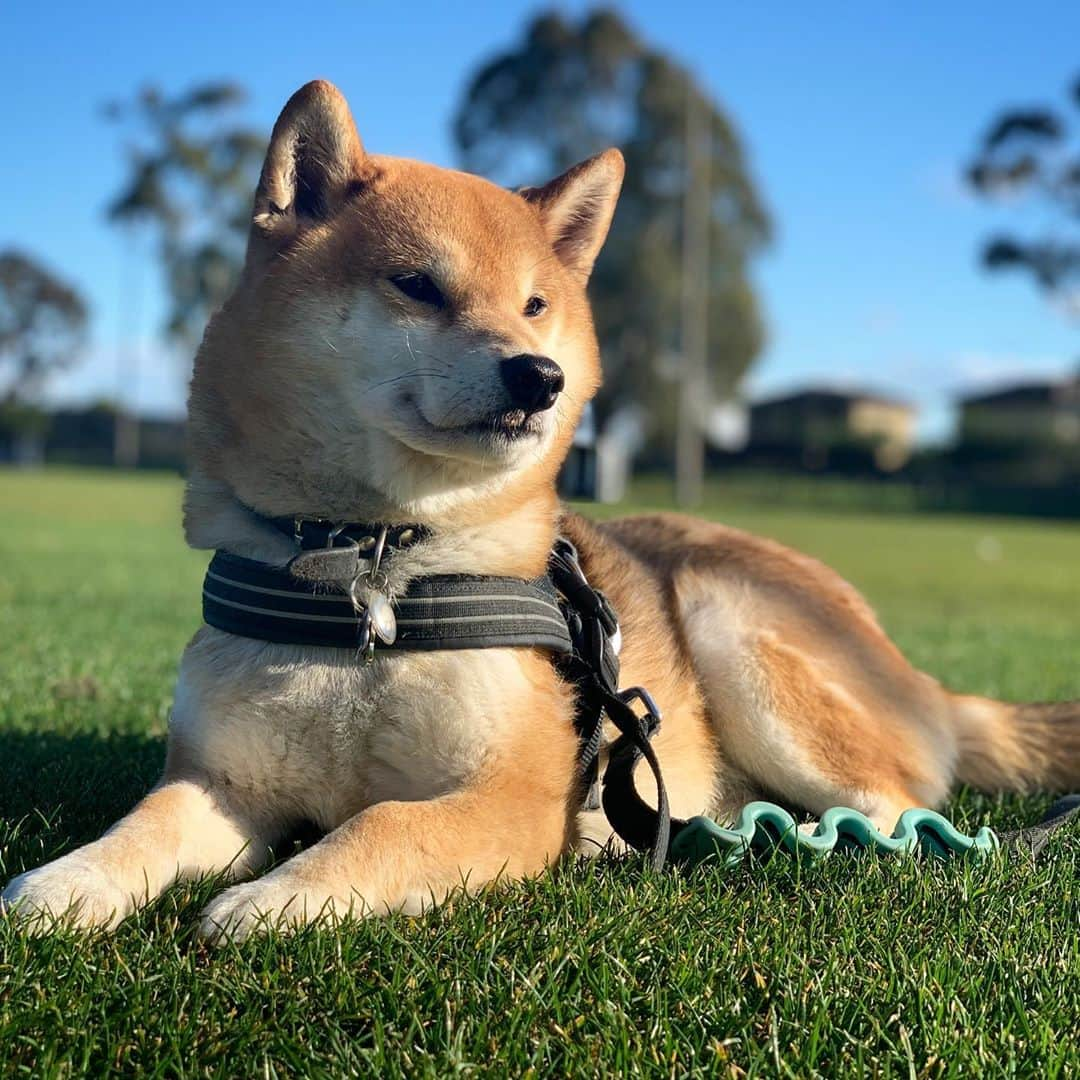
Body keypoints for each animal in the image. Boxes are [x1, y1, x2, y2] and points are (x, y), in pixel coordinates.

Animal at [2, 82, 1080, 937]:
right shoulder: (223, 786)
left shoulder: (513, 795)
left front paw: (276, 897)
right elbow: (137, 828)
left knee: (897, 809)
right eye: (416, 284)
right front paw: (64, 885)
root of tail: (912, 671)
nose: (540, 377)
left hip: (735, 628)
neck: (375, 568)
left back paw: (801, 832)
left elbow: (383, 822)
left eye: (534, 306)